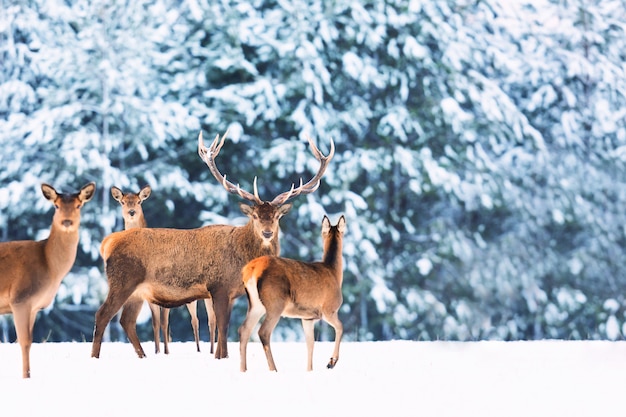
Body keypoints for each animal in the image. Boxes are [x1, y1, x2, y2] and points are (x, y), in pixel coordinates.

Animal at [0, 180, 95, 376]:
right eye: (56, 205)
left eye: (79, 205)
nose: (67, 221)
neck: (50, 267)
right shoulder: (19, 298)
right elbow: (24, 342)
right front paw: (26, 377)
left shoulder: (34, 306)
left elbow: (29, 342)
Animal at [111, 185, 218, 354]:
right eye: (122, 202)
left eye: (139, 201)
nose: (131, 212)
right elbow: (155, 324)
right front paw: (157, 351)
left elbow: (164, 323)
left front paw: (166, 352)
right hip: (191, 299)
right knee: (195, 320)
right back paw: (198, 349)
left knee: (212, 319)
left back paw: (211, 351)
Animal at [239, 214, 346, 370]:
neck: (334, 272)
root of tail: (251, 269)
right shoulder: (329, 309)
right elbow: (340, 327)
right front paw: (331, 362)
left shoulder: (308, 317)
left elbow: (310, 344)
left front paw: (309, 370)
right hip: (275, 302)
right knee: (263, 332)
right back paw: (274, 369)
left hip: (255, 304)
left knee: (244, 330)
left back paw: (243, 369)